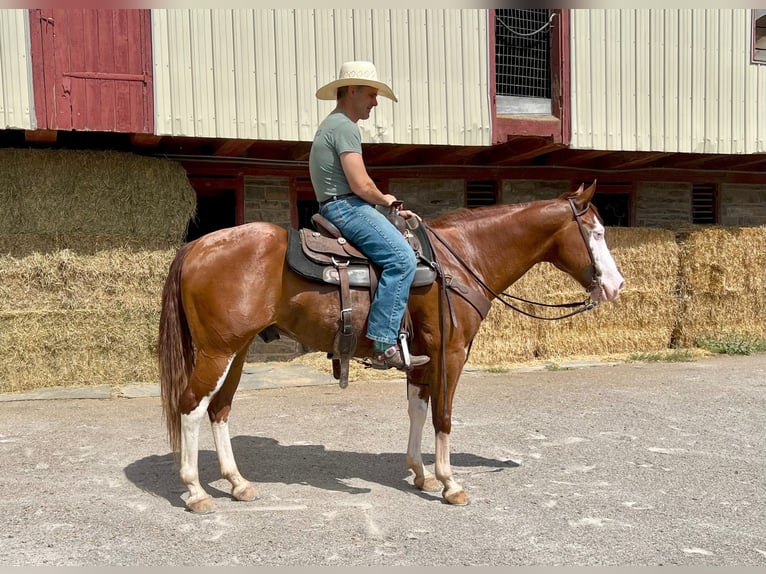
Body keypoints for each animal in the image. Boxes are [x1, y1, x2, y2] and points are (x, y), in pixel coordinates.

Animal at [158, 180, 624, 513]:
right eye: (597, 232)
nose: (617, 285)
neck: (457, 261)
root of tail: (196, 246)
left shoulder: (421, 357)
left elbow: (417, 409)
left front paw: (421, 473)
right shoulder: (451, 353)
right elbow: (443, 416)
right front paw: (450, 483)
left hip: (235, 352)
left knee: (219, 410)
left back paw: (237, 483)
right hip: (217, 352)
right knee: (191, 407)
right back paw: (196, 491)